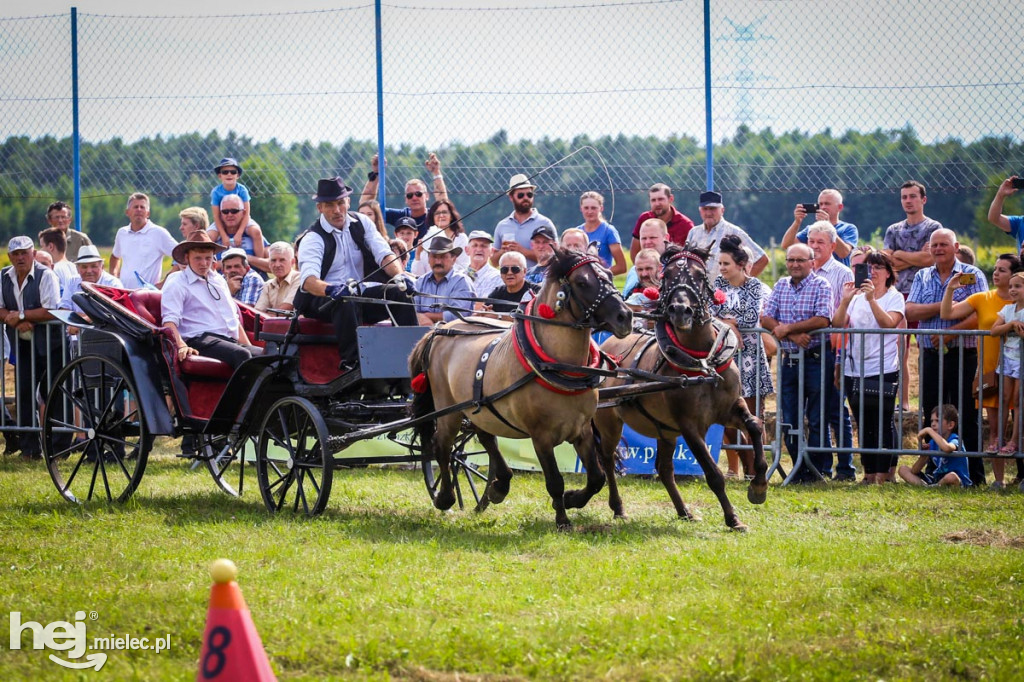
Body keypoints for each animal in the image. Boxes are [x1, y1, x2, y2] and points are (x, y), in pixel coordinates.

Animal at [407, 246, 630, 528]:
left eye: (610, 275)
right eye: (582, 282)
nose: (625, 316)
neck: (554, 364)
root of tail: (440, 329)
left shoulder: (582, 430)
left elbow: (596, 478)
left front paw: (572, 500)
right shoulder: (541, 436)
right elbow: (555, 481)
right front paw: (562, 519)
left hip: (480, 406)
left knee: (485, 436)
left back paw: (499, 485)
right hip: (449, 409)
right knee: (442, 446)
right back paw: (445, 497)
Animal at [593, 241, 770, 528]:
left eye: (699, 275)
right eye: (667, 275)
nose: (680, 310)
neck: (701, 360)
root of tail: (603, 348)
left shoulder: (730, 408)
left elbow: (754, 426)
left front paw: (759, 485)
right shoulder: (689, 426)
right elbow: (713, 474)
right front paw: (733, 518)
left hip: (665, 430)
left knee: (664, 469)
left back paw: (683, 510)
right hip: (609, 422)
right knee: (608, 460)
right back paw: (618, 507)